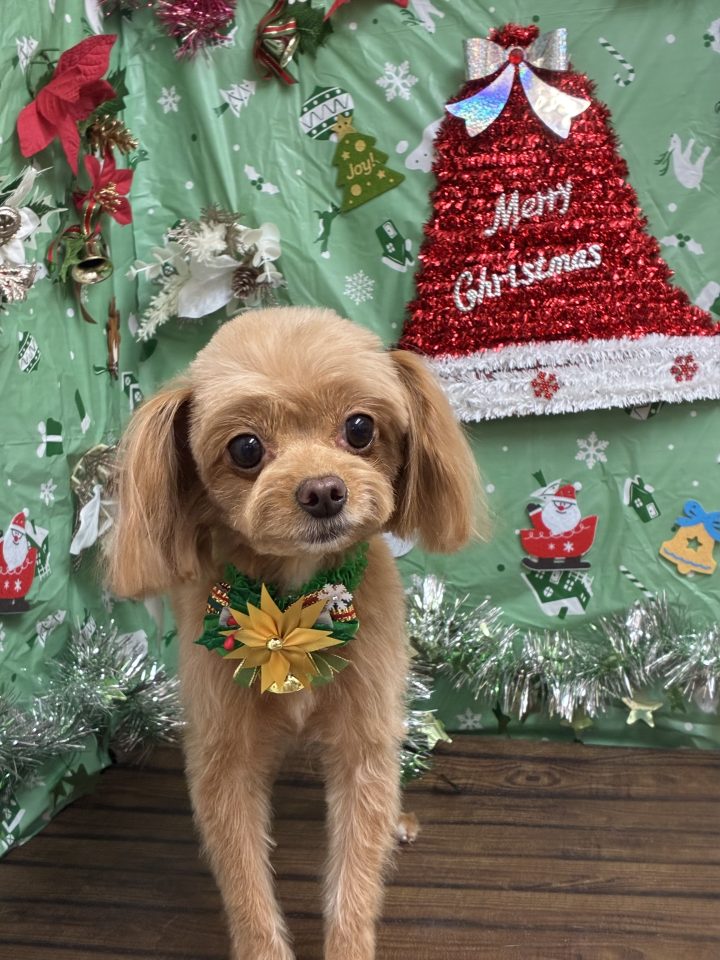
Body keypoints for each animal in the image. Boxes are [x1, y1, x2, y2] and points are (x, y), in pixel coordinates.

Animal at [107, 306, 479, 960]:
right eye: (246, 447)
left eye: (359, 428)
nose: (324, 491)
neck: (294, 604)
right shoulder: (223, 754)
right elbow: (246, 886)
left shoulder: (363, 744)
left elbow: (355, 877)